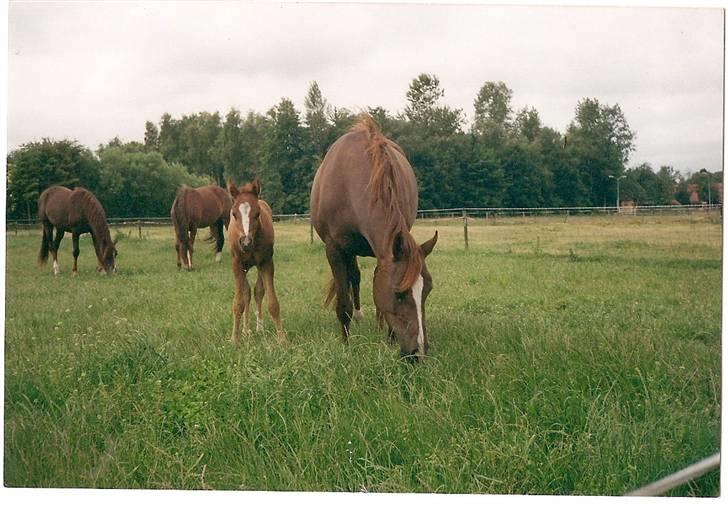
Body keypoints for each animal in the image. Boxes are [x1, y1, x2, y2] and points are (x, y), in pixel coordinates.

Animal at [228, 178, 284, 344]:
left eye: (257, 213)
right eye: (234, 214)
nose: (246, 243)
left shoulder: (266, 263)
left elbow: (272, 302)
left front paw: (282, 339)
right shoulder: (237, 264)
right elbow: (238, 302)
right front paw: (234, 339)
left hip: (258, 266)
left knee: (257, 291)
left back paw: (259, 328)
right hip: (245, 267)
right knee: (246, 293)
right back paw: (246, 331)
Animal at [308, 114, 436, 360]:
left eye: (428, 290)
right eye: (398, 294)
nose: (418, 353)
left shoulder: (385, 249)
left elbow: (378, 286)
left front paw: (390, 338)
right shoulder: (335, 249)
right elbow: (344, 302)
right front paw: (346, 344)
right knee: (353, 277)